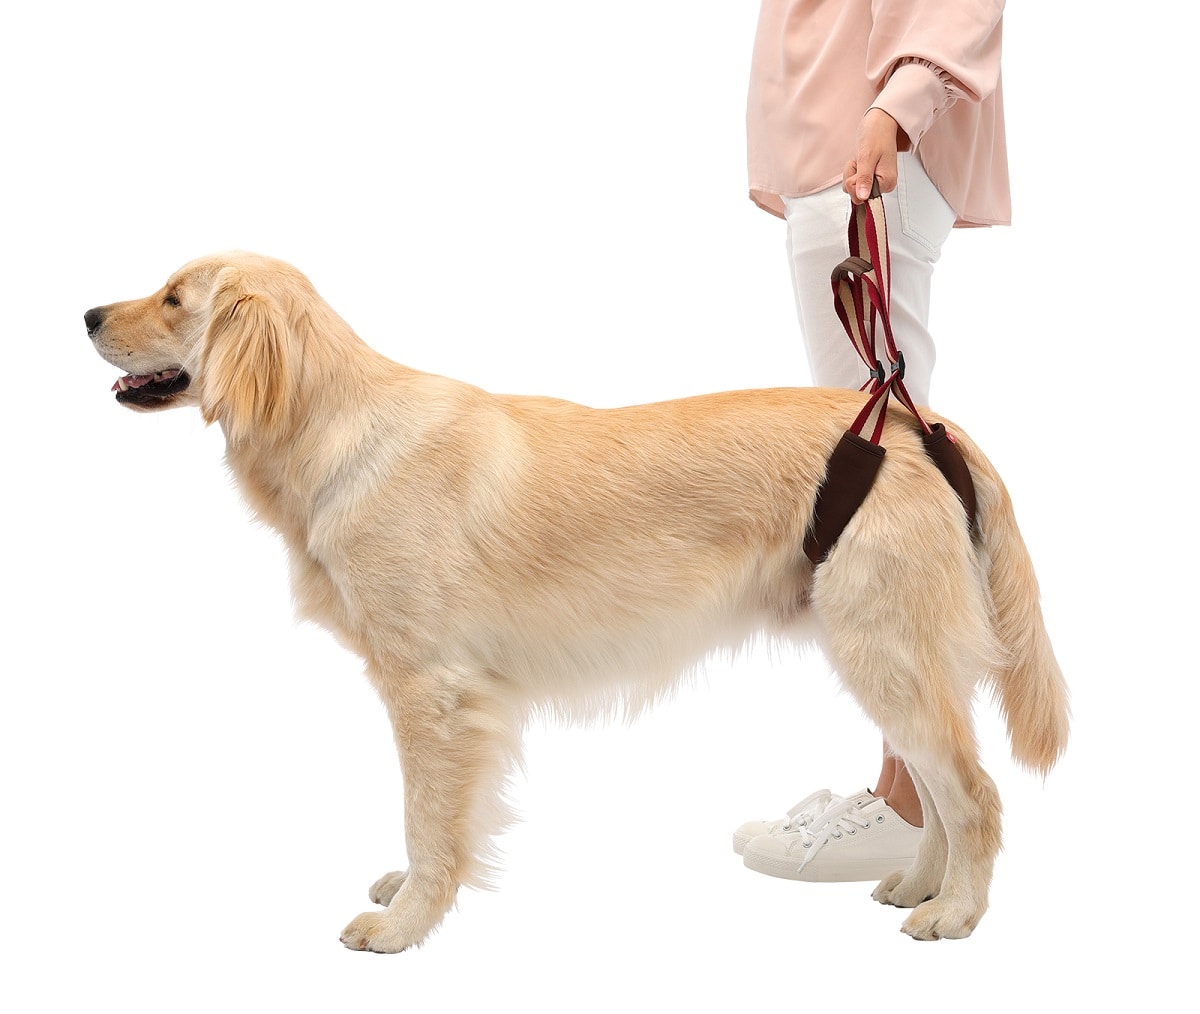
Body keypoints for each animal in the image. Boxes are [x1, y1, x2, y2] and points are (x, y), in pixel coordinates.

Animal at [85, 251, 1068, 949]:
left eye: (174, 298)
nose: (87, 313)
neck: (333, 432)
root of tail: (921, 424)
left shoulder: (432, 690)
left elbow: (426, 821)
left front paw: (406, 924)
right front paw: (409, 900)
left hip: (883, 648)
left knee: (974, 792)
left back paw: (956, 913)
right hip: (884, 654)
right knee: (939, 789)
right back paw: (922, 883)